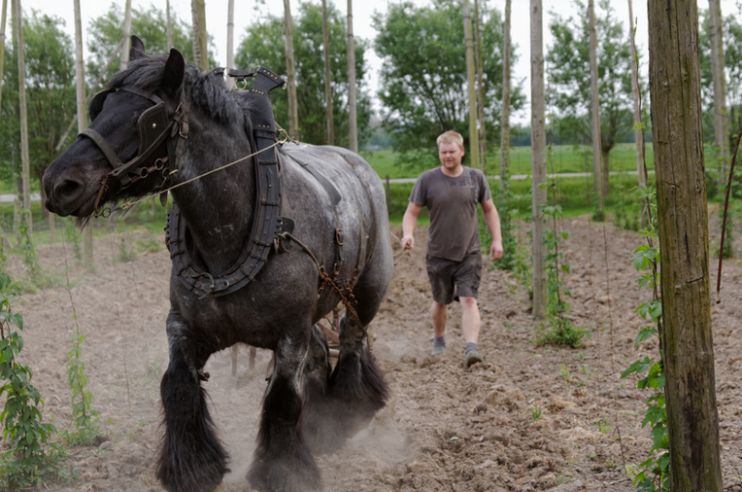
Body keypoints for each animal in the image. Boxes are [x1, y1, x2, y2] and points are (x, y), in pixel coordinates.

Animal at [42, 37, 393, 492]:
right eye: (101, 106)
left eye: (146, 119)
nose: (57, 184)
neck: (231, 229)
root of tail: (359, 165)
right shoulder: (184, 326)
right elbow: (176, 384)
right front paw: (194, 468)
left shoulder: (289, 334)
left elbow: (281, 398)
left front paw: (282, 473)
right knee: (320, 350)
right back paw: (318, 426)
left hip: (367, 291)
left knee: (352, 338)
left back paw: (346, 413)